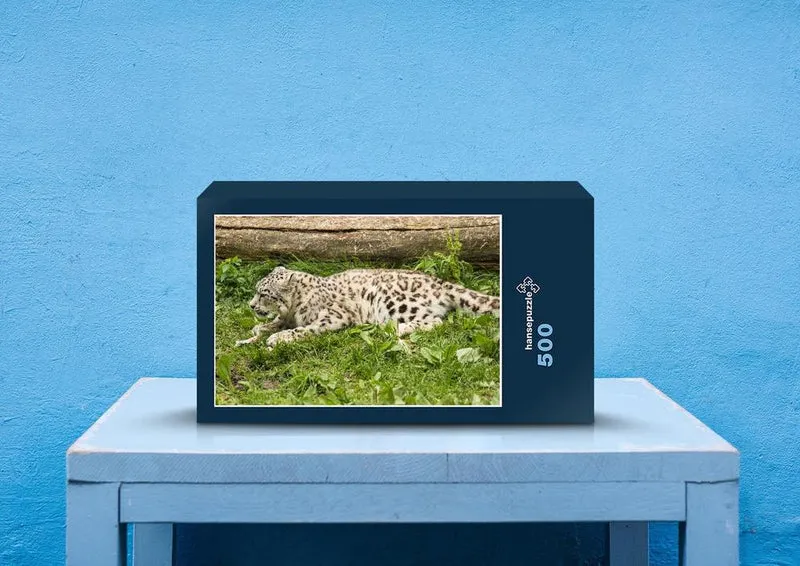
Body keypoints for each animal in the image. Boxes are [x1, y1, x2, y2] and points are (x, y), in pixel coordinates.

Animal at [234, 266, 500, 349]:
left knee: (436, 321)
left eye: (264, 293)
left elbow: (303, 329)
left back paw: (395, 329)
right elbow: (271, 324)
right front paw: (251, 336)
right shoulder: (287, 317)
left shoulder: (333, 317)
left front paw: (277, 339)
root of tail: (440, 281)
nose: (251, 305)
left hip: (397, 303)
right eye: (257, 290)